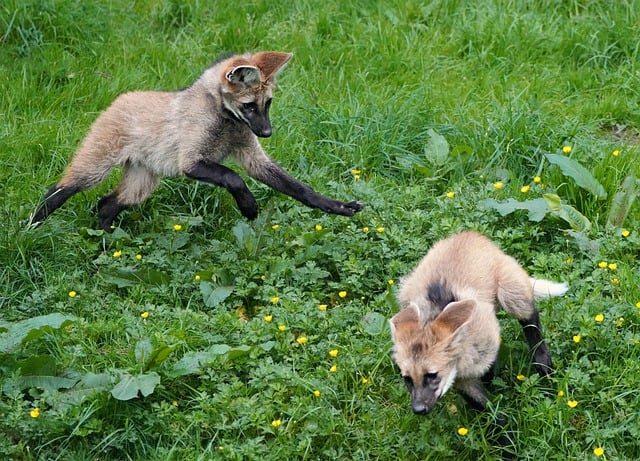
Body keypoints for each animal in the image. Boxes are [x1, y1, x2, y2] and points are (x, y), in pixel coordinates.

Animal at [30, 51, 364, 232]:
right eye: (249, 106)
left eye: (267, 103)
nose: (267, 133)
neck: (226, 119)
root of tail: (117, 99)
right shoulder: (191, 162)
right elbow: (234, 178)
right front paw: (249, 208)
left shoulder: (251, 154)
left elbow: (299, 188)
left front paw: (339, 206)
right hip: (97, 166)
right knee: (59, 190)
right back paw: (31, 229)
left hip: (142, 182)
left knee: (106, 204)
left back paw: (108, 245)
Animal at [389, 230, 567, 420]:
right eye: (407, 379)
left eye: (431, 375)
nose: (418, 409)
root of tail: (470, 234)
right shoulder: (460, 378)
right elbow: (487, 409)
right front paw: (502, 426)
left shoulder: (487, 341)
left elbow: (489, 367)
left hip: (509, 292)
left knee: (529, 317)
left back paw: (543, 363)